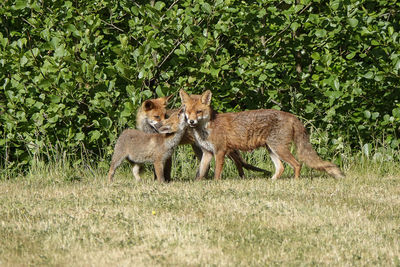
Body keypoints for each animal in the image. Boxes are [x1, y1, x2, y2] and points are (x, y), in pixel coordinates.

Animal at [135, 95, 268, 181]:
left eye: (165, 116)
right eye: (157, 117)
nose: (163, 126)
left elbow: (165, 171)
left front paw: (165, 181)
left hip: (221, 148)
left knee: (237, 162)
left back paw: (241, 177)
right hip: (200, 148)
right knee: (209, 165)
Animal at [180, 89, 346, 181]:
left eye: (199, 112)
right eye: (187, 111)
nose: (191, 121)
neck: (206, 128)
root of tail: (291, 115)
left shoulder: (220, 151)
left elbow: (216, 173)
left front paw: (216, 183)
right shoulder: (207, 153)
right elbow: (200, 173)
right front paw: (197, 184)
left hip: (279, 149)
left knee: (297, 164)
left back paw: (295, 182)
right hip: (271, 149)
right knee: (281, 168)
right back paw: (272, 181)